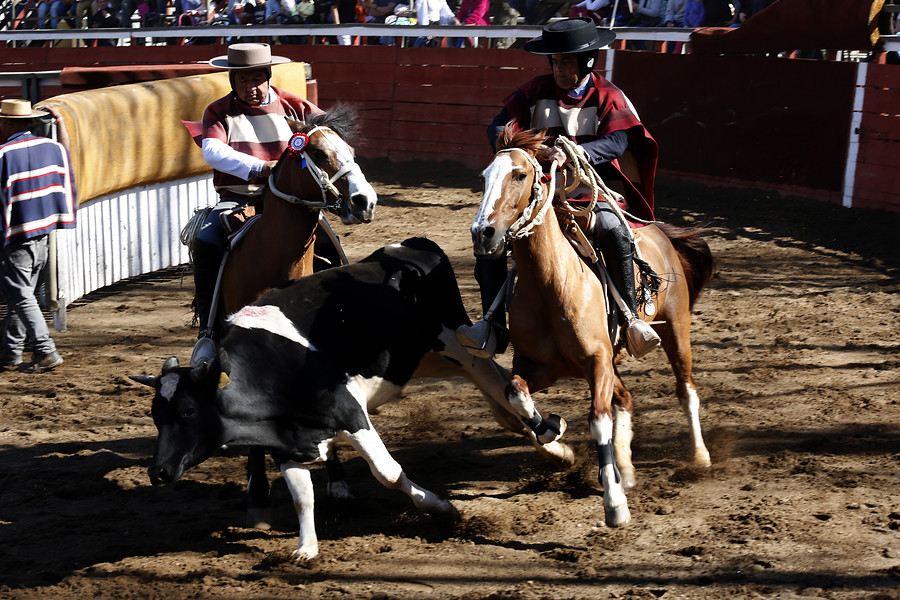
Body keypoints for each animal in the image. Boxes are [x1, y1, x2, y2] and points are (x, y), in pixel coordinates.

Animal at [132, 237, 568, 560]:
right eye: (155, 416)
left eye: (188, 410)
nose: (158, 472)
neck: (272, 365)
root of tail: (411, 247)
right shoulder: (288, 440)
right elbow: (302, 496)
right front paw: (306, 547)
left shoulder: (350, 413)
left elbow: (388, 473)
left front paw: (440, 507)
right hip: (426, 358)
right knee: (499, 388)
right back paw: (552, 440)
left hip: (456, 342)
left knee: (496, 381)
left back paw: (544, 431)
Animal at [472, 129, 716, 528]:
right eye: (483, 177)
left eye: (520, 175)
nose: (483, 233)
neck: (551, 285)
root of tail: (658, 231)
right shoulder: (538, 366)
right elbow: (515, 394)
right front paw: (551, 428)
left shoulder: (597, 363)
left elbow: (599, 421)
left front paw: (614, 503)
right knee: (626, 398)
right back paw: (625, 466)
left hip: (676, 328)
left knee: (686, 390)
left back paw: (699, 456)